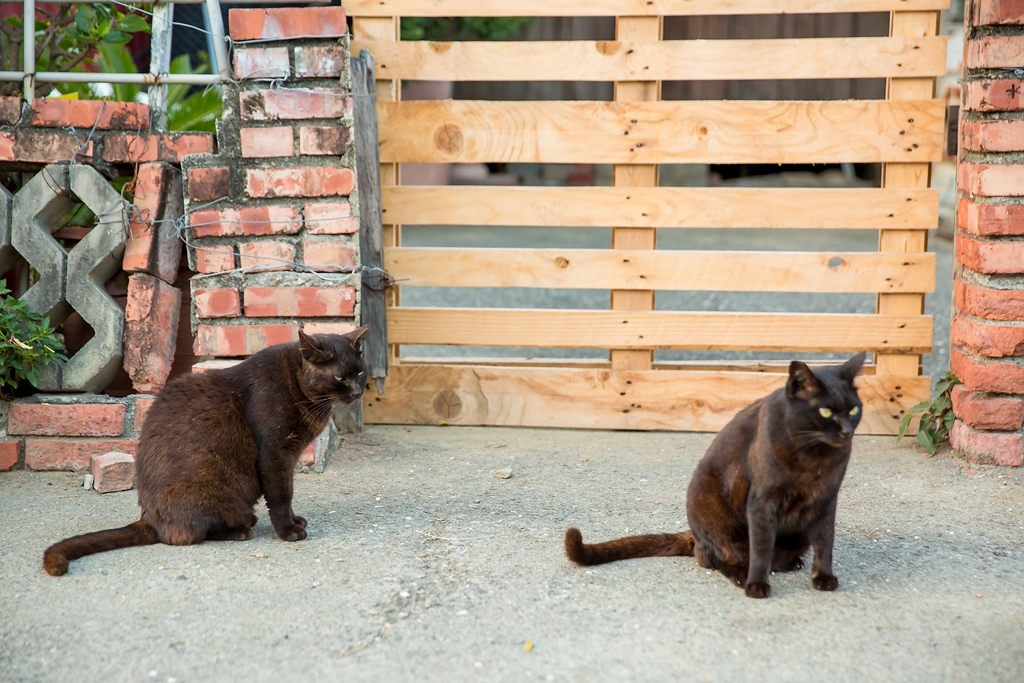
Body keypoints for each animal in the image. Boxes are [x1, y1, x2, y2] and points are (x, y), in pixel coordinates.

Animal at [46, 327, 372, 573]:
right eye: (340, 378)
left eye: (360, 373)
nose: (357, 392)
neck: (300, 387)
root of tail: (147, 518)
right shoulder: (275, 456)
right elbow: (281, 497)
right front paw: (288, 531)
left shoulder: (287, 460)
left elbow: (288, 496)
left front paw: (295, 521)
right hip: (223, 495)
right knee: (187, 535)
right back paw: (241, 530)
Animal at [565, 352, 868, 598]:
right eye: (825, 411)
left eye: (853, 409)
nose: (846, 431)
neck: (813, 458)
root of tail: (695, 536)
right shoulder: (762, 502)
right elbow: (761, 546)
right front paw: (756, 586)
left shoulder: (826, 498)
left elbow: (825, 542)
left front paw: (824, 578)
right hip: (711, 506)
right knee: (718, 558)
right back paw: (742, 575)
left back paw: (790, 562)